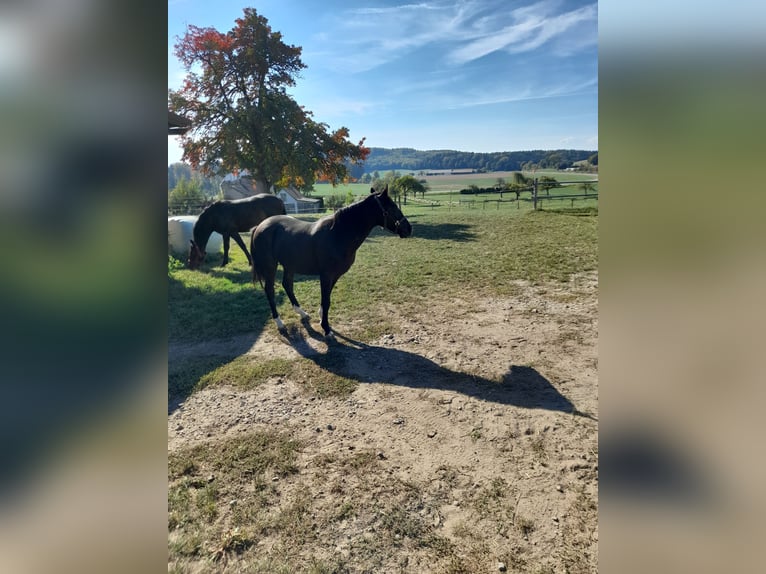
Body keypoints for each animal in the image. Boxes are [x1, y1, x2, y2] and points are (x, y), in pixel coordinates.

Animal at [251, 186, 412, 338]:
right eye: (392, 207)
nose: (408, 229)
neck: (338, 234)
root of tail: (259, 226)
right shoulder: (326, 275)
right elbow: (326, 300)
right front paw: (327, 329)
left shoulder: (335, 275)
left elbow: (326, 298)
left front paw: (322, 318)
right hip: (270, 267)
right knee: (270, 290)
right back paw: (279, 322)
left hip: (289, 265)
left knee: (287, 285)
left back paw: (302, 313)